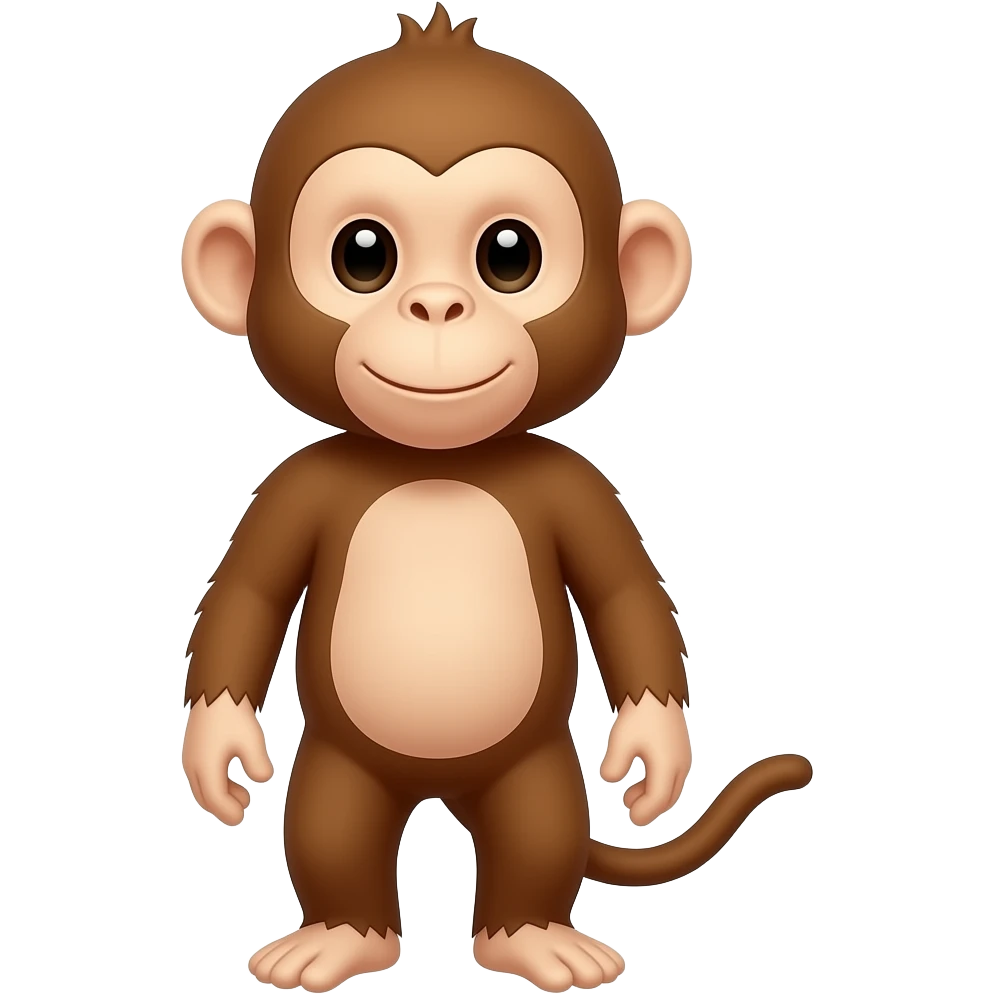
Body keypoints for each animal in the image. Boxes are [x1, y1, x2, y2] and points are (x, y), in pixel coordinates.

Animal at [179, 6, 813, 992]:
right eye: (363, 254)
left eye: (509, 254)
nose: (438, 306)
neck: (439, 464)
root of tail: (440, 788)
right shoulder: (293, 486)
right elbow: (245, 595)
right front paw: (221, 752)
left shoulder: (578, 487)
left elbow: (627, 595)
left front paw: (652, 752)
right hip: (342, 764)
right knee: (330, 829)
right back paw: (341, 937)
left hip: (535, 764)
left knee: (537, 832)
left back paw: (534, 936)